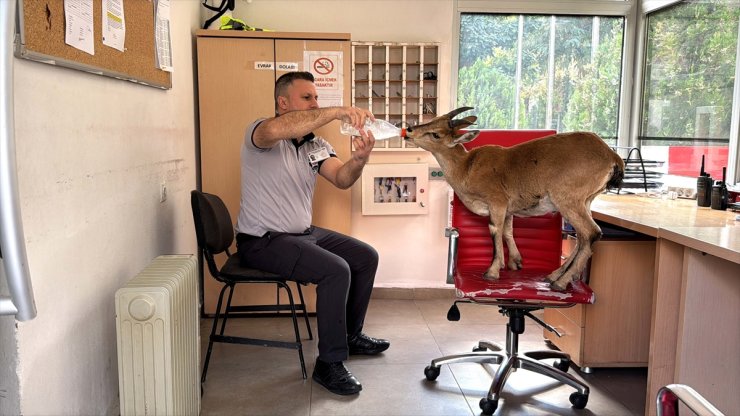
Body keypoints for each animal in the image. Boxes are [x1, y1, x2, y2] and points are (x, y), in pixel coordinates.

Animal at [404, 107, 624, 290]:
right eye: (435, 120)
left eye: (436, 134)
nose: (409, 130)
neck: (467, 167)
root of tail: (612, 157)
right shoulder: (508, 209)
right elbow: (508, 230)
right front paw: (514, 262)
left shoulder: (497, 201)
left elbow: (495, 229)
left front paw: (492, 271)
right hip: (585, 202)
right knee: (582, 237)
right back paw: (554, 275)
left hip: (569, 200)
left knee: (591, 232)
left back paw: (561, 282)